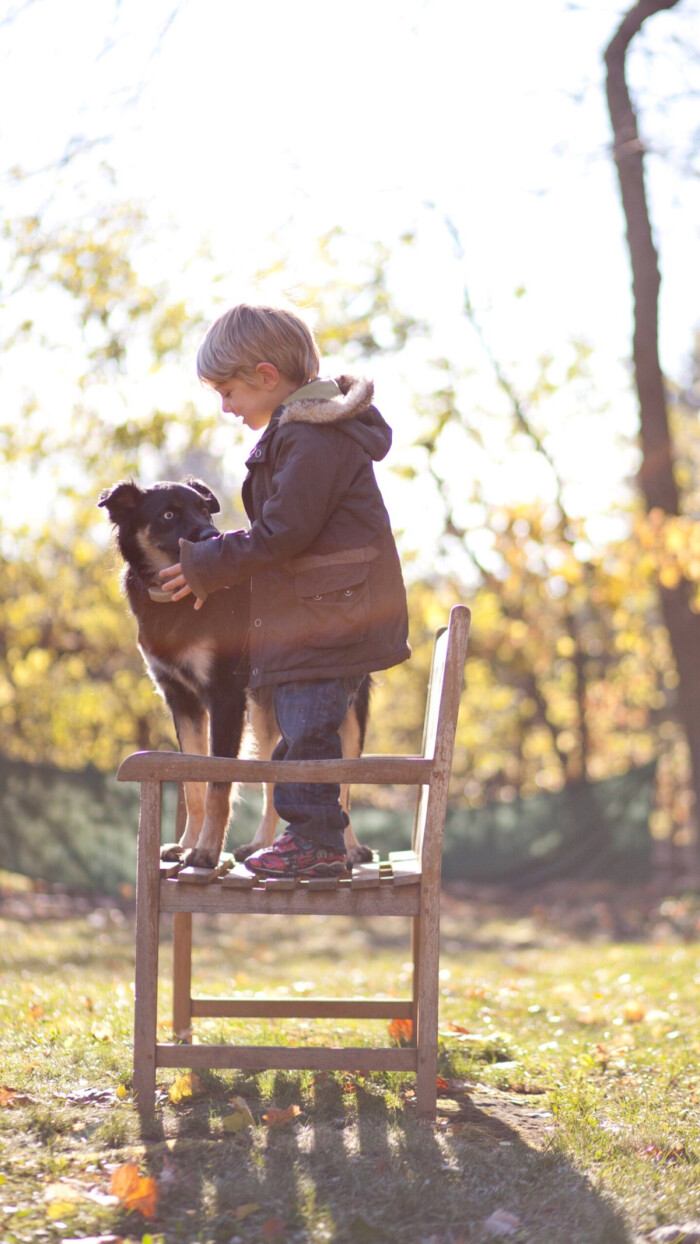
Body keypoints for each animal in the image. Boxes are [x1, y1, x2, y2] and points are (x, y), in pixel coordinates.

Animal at [100, 480, 373, 870]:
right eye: (168, 514)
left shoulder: (225, 698)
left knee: (343, 788)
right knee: (274, 781)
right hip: (264, 716)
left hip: (345, 715)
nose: (214, 536)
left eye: (204, 510)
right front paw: (185, 844)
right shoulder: (183, 701)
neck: (176, 603)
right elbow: (194, 785)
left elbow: (218, 785)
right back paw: (261, 845)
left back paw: (349, 849)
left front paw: (206, 851)